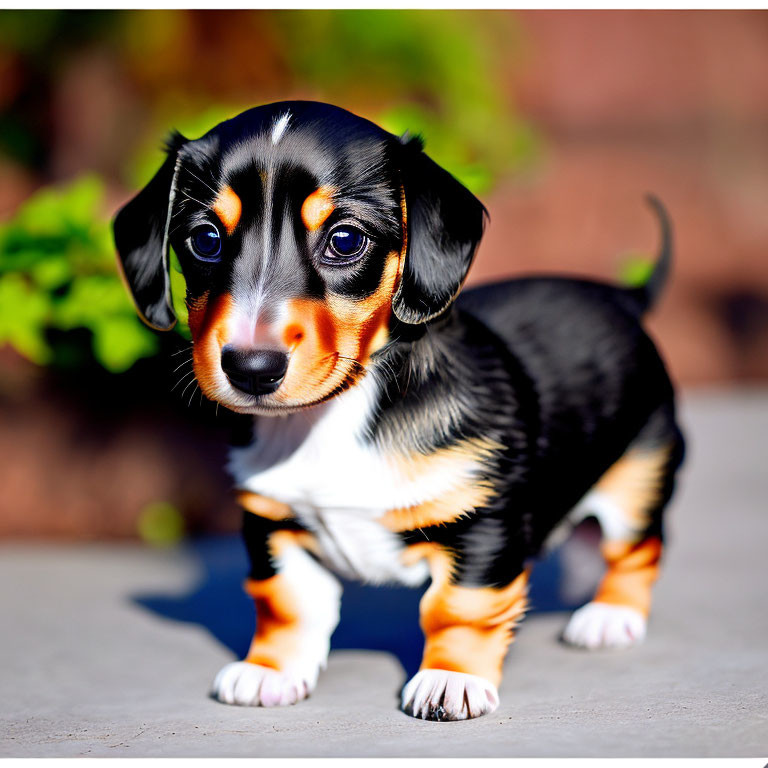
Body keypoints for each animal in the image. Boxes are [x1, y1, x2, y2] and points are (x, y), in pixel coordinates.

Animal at [112, 100, 684, 720]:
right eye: (205, 239)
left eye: (344, 239)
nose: (251, 368)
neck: (334, 417)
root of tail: (623, 298)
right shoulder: (273, 524)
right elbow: (287, 606)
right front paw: (269, 671)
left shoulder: (481, 523)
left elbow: (458, 609)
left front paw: (450, 679)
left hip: (638, 475)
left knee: (637, 548)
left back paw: (609, 616)